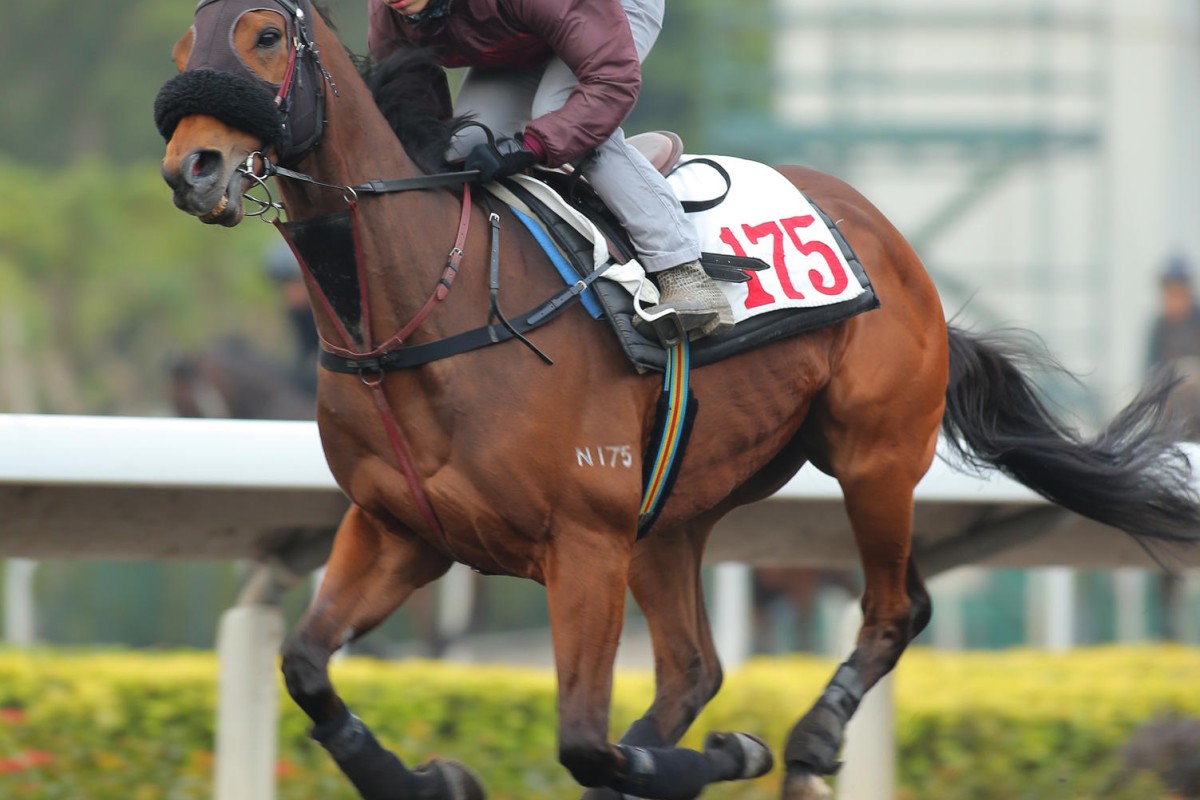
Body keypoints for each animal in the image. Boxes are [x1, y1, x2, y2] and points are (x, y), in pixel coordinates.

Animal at [154, 3, 1200, 796]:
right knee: (696, 667)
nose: (191, 167)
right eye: (182, 46)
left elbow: (584, 740)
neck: (425, 314)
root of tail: (893, 243)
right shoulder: (401, 528)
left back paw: (806, 743)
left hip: (872, 456)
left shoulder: (581, 541)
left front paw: (736, 752)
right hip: (672, 515)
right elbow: (305, 667)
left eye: (263, 36)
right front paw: (427, 777)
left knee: (895, 609)